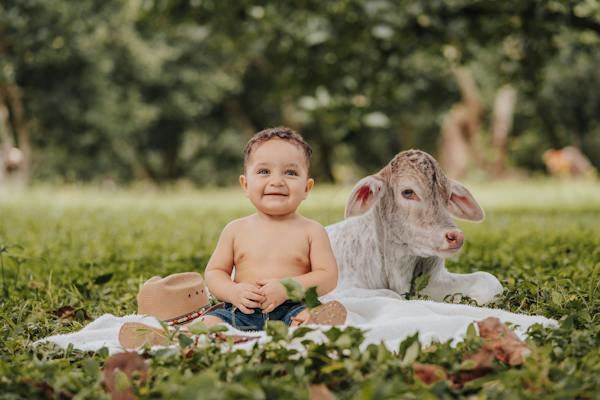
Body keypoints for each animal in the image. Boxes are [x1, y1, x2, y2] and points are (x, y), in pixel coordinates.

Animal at [326, 149, 504, 304]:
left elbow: (489, 279)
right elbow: (390, 295)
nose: (456, 236)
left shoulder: (435, 279)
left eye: (448, 195)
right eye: (408, 192)